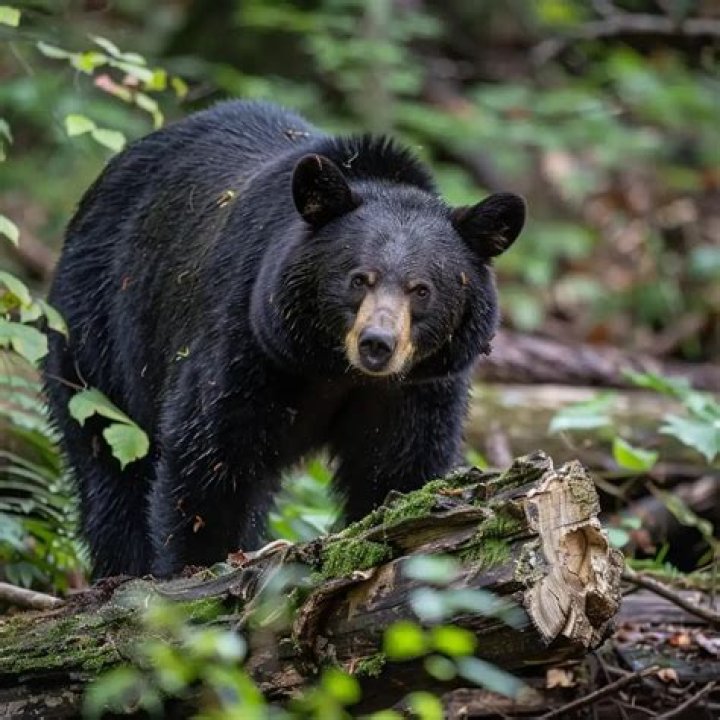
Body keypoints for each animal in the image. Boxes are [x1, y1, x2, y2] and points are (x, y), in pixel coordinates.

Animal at [44, 100, 525, 578]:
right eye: (358, 279)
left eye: (421, 289)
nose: (377, 344)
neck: (332, 368)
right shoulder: (249, 343)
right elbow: (212, 459)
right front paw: (198, 567)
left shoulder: (417, 388)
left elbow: (400, 467)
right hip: (95, 322)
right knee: (106, 458)